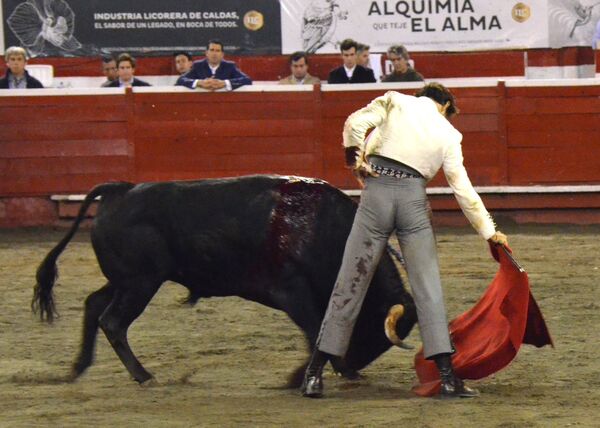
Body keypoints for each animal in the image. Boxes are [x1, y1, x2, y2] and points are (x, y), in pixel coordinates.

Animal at [33, 175, 417, 387]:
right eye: (371, 333)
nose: (353, 367)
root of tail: (119, 190)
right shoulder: (291, 290)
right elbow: (315, 330)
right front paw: (306, 375)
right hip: (140, 283)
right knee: (112, 321)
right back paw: (144, 376)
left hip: (125, 281)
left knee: (93, 305)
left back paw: (79, 367)